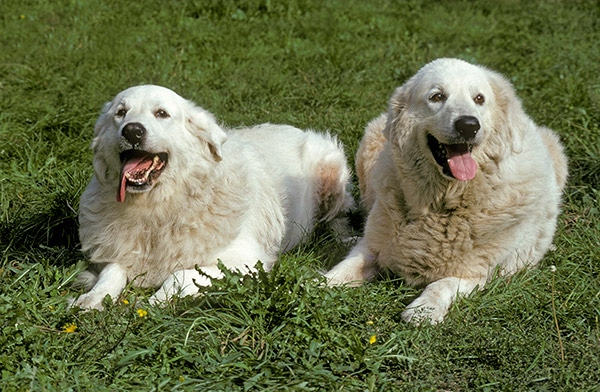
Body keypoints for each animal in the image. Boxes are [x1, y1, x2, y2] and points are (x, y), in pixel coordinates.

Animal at [71, 85, 354, 310]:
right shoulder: (118, 251)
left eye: (161, 113)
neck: (159, 209)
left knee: (339, 216)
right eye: (120, 113)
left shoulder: (247, 262)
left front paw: (153, 302)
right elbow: (112, 271)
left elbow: (180, 275)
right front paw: (92, 298)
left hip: (330, 170)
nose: (132, 131)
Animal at [326, 57, 564, 322]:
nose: (468, 125)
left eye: (479, 99)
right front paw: (318, 284)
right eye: (437, 96)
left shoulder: (476, 273)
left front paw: (423, 309)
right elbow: (347, 266)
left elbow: (442, 284)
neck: (443, 202)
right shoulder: (372, 247)